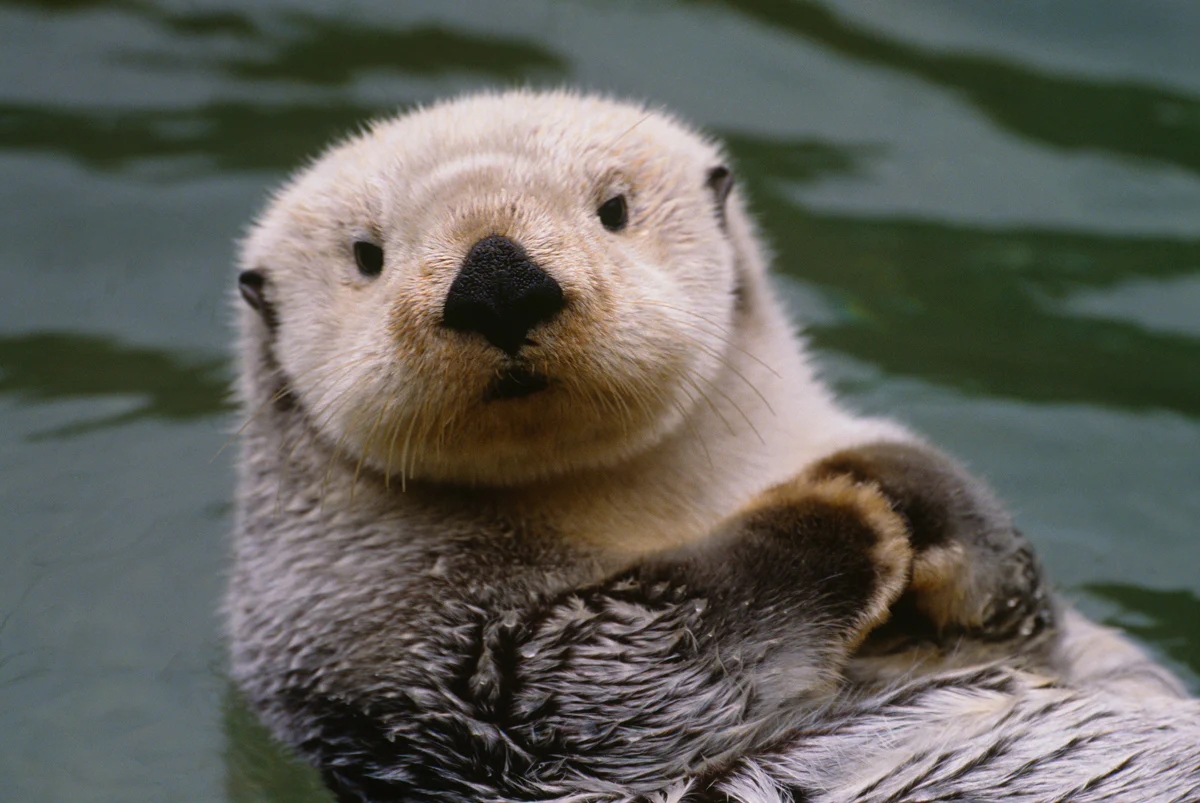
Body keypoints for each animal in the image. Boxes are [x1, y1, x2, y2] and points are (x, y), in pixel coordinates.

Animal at [227, 90, 1199, 802]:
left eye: (613, 208)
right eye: (367, 255)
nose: (498, 279)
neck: (639, 499)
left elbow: (1025, 608)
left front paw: (898, 485)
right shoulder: (398, 646)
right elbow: (608, 663)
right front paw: (837, 515)